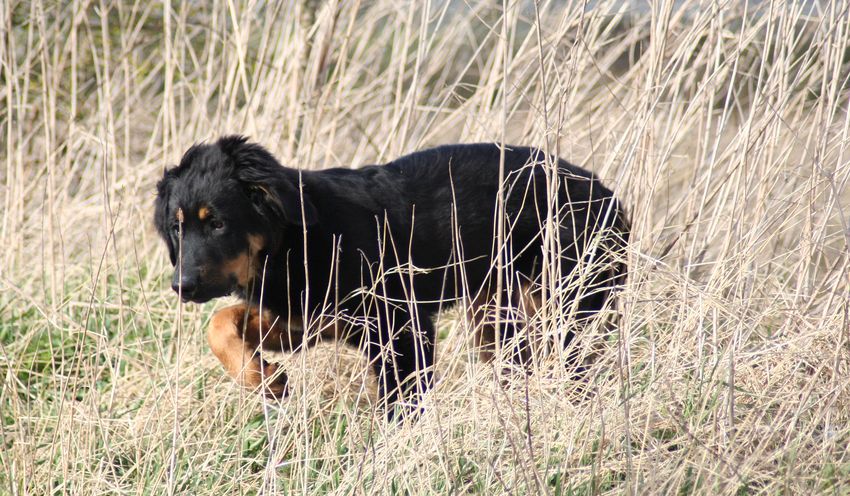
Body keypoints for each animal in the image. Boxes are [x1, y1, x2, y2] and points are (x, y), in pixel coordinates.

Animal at [154, 136, 629, 417]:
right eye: (177, 228)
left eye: (218, 223)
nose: (182, 286)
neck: (294, 241)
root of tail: (608, 196)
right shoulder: (301, 317)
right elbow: (220, 325)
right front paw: (263, 378)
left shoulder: (401, 325)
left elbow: (402, 398)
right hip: (498, 317)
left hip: (563, 305)